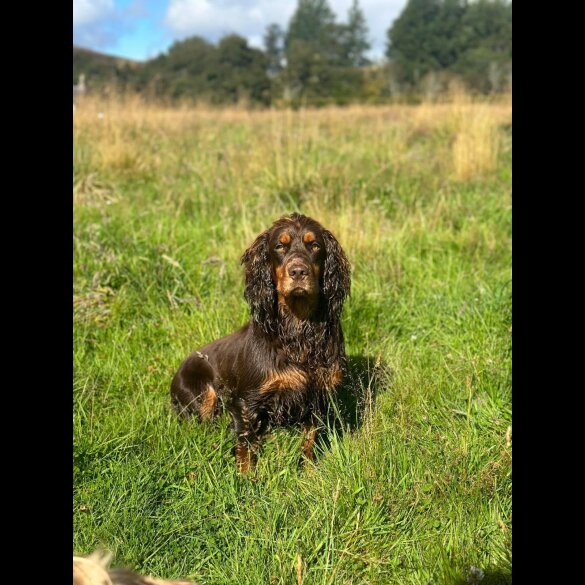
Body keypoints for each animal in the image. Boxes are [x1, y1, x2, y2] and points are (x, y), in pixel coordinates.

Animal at [170, 212, 352, 472]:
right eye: (280, 246)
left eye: (315, 245)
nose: (298, 271)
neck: (298, 327)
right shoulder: (246, 402)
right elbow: (245, 444)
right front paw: (246, 476)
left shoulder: (318, 396)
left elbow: (310, 438)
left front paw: (308, 470)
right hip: (202, 395)